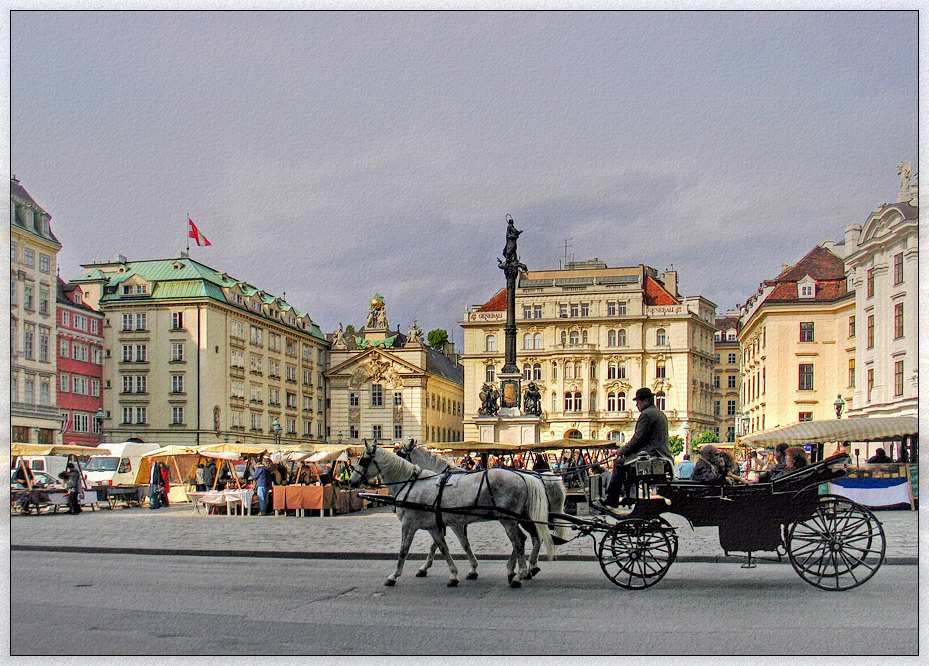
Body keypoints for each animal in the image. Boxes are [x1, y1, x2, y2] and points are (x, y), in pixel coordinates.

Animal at [348, 440, 552, 588]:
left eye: (363, 460)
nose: (351, 481)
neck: (414, 483)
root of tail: (523, 476)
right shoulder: (437, 524)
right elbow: (443, 547)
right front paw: (455, 574)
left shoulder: (411, 525)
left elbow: (404, 551)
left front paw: (394, 576)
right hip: (516, 518)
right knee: (528, 538)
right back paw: (521, 570)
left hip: (509, 519)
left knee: (520, 541)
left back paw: (520, 574)